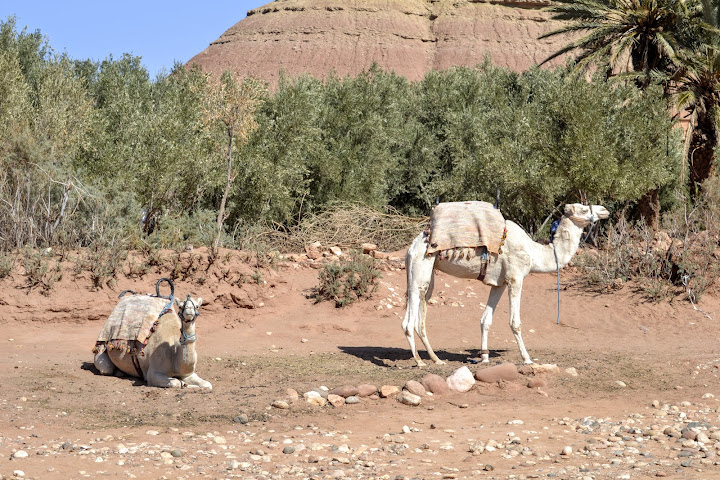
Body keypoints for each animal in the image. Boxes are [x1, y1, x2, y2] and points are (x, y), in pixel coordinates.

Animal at [402, 203, 612, 368]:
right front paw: (527, 358)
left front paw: (485, 357)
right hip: (421, 266)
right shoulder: (515, 277)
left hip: (423, 271)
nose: (604, 210)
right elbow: (515, 322)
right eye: (583, 209)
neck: (533, 252)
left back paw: (436, 359)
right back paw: (419, 361)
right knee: (410, 318)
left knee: (419, 311)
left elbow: (485, 320)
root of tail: (412, 246)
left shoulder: (499, 283)